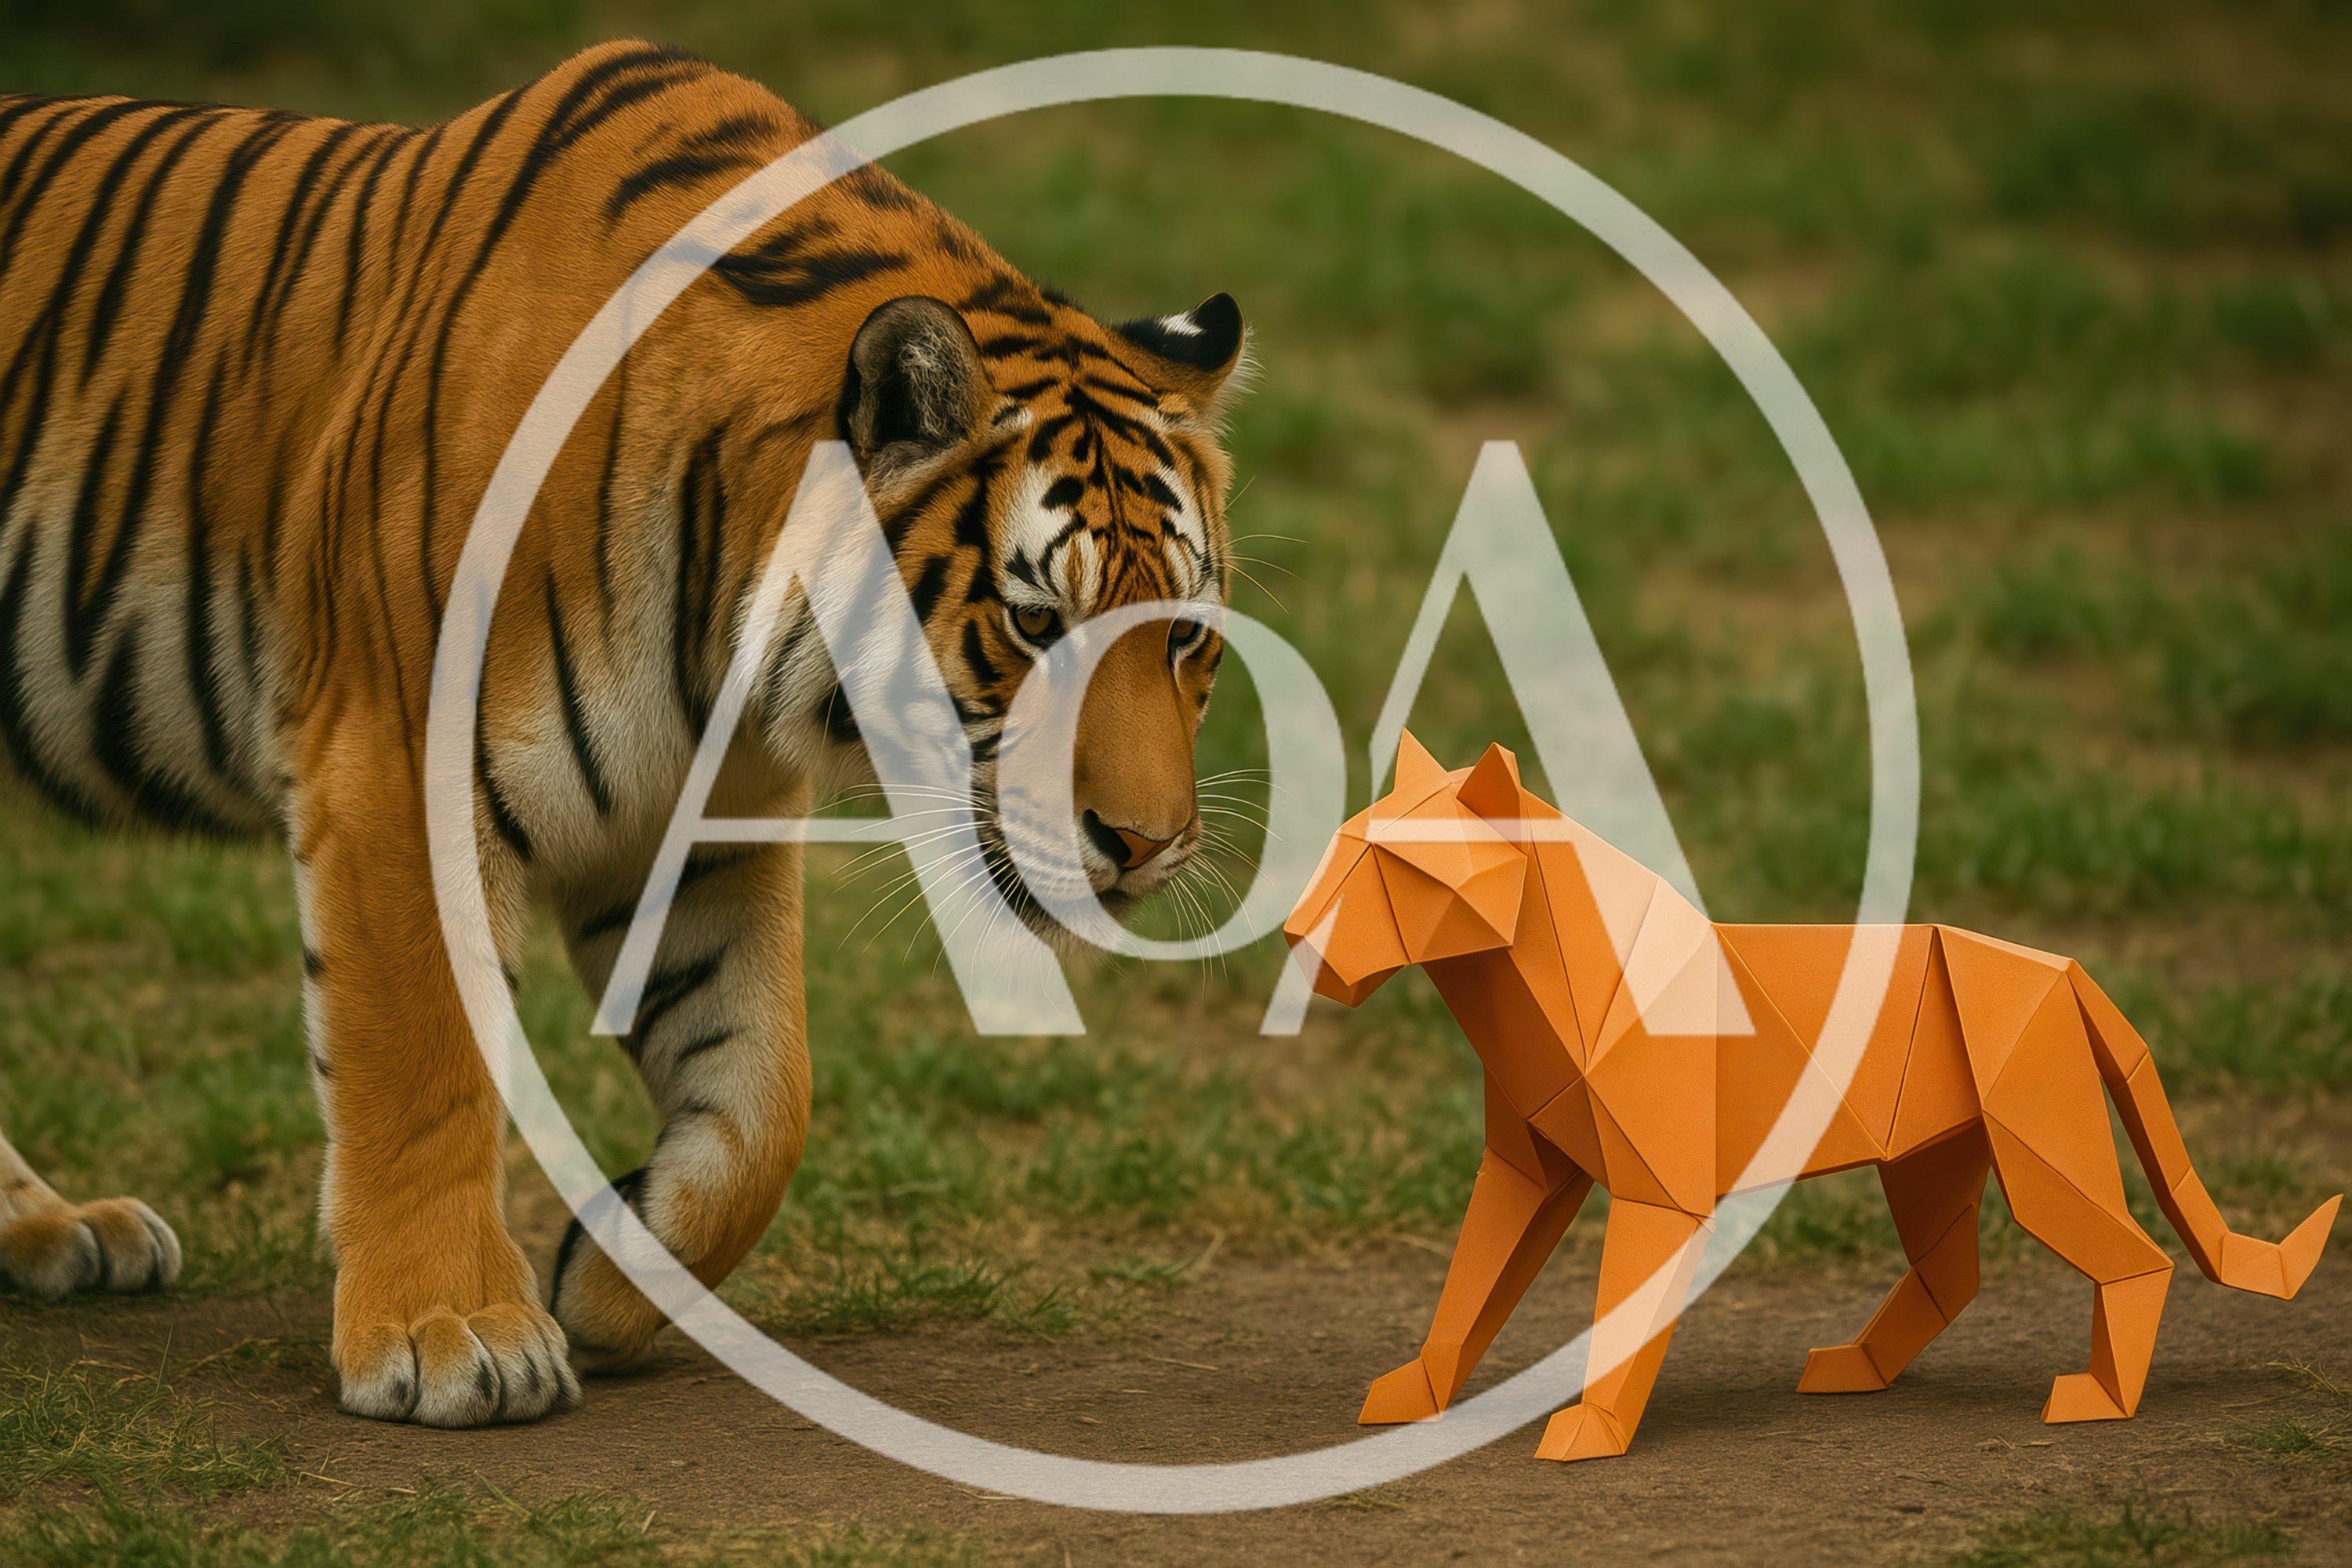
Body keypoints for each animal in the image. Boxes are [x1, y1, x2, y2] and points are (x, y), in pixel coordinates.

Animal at [0, 41, 1248, 1428]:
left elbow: (765, 1096)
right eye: (1036, 624)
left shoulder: (693, 825)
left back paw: (57, 1234)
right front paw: (451, 1336)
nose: (1147, 845)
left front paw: (605, 1275)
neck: (727, 623)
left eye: (1184, 635)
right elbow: (423, 1059)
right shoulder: (394, 764)